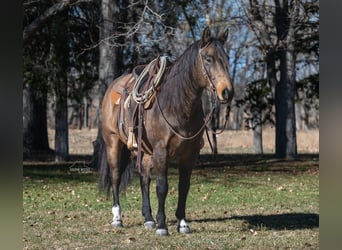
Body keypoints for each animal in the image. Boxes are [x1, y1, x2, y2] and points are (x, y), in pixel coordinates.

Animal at [97, 27, 234, 236]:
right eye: (209, 58)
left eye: (226, 57)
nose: (227, 92)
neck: (176, 103)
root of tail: (112, 87)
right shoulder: (161, 151)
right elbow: (162, 186)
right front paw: (162, 226)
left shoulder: (189, 154)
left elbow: (183, 187)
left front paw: (182, 223)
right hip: (113, 144)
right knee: (115, 177)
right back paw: (117, 218)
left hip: (144, 152)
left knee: (144, 179)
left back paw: (148, 218)